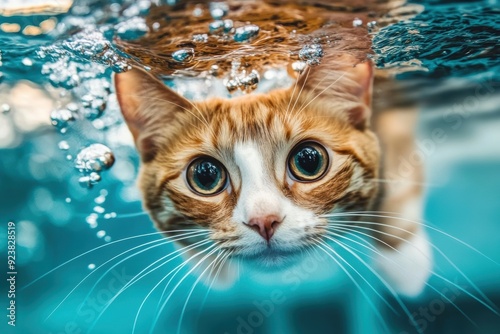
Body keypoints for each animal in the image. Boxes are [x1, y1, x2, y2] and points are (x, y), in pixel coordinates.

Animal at [112, 51, 430, 296]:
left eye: (309, 161)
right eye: (205, 176)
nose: (263, 221)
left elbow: (398, 178)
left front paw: (403, 260)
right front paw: (210, 266)